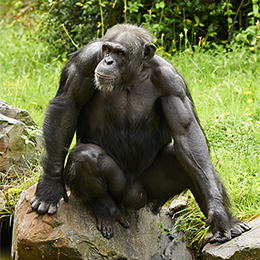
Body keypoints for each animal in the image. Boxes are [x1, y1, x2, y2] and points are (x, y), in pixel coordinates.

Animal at [31, 23, 250, 242]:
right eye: (107, 50)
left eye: (120, 53)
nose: (108, 61)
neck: (131, 75)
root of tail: (133, 199)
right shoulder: (84, 62)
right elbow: (68, 104)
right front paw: (50, 187)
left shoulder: (172, 83)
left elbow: (187, 132)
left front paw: (218, 211)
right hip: (120, 191)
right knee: (86, 157)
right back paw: (106, 210)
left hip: (150, 190)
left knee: (189, 163)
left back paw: (228, 225)